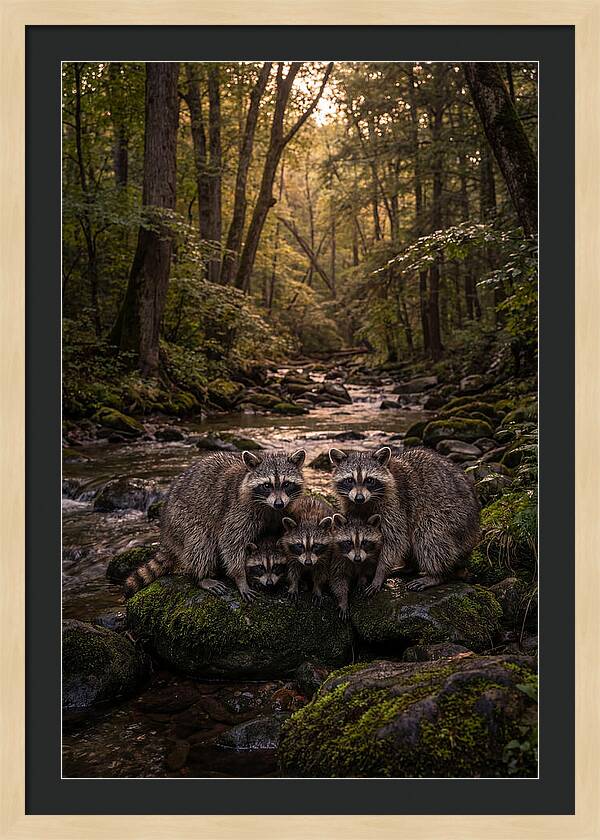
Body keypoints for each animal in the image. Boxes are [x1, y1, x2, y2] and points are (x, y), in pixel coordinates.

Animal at [124, 448, 306, 601]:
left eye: (286, 484)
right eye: (267, 485)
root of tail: (166, 532)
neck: (269, 507)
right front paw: (241, 577)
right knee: (201, 542)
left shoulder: (281, 513)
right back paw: (201, 577)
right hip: (182, 519)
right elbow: (231, 543)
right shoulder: (237, 512)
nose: (279, 503)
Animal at [328, 446, 480, 593]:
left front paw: (380, 572)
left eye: (369, 480)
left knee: (428, 535)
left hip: (453, 516)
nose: (359, 498)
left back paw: (437, 574)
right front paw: (363, 572)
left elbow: (395, 540)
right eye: (350, 480)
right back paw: (410, 567)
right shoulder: (351, 504)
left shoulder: (395, 503)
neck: (366, 502)